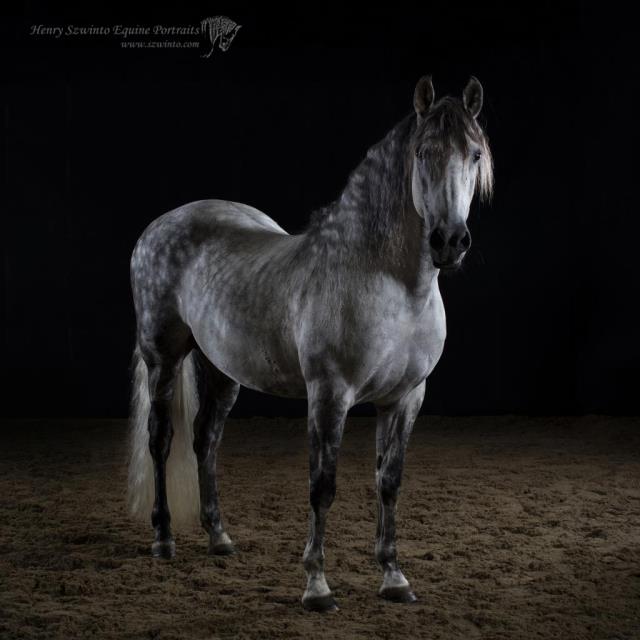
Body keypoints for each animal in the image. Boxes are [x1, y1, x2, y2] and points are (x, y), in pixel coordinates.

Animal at [126, 74, 496, 608]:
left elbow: (389, 482)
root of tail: (158, 226)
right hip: (163, 357)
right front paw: (317, 586)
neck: (392, 284)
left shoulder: (405, 398)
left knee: (205, 440)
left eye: (474, 154)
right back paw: (163, 539)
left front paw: (394, 577)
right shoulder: (329, 394)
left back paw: (219, 537)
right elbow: (323, 485)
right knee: (161, 439)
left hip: (222, 370)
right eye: (423, 152)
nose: (449, 241)